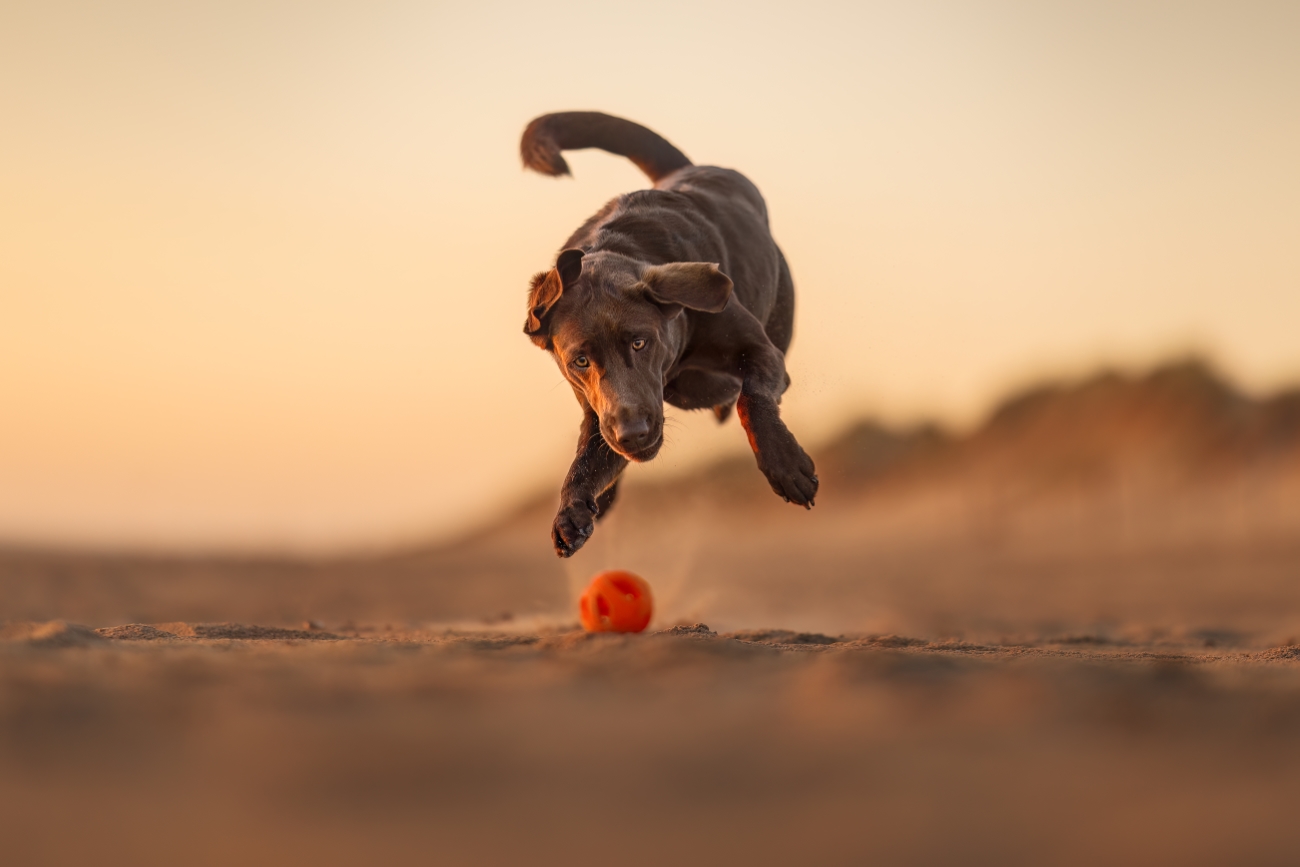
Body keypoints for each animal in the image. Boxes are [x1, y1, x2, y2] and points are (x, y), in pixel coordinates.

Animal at [517, 111, 811, 556]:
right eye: (580, 361)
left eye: (640, 342)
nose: (633, 433)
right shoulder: (599, 413)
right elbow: (585, 460)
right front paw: (571, 512)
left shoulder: (762, 352)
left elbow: (753, 398)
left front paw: (785, 464)